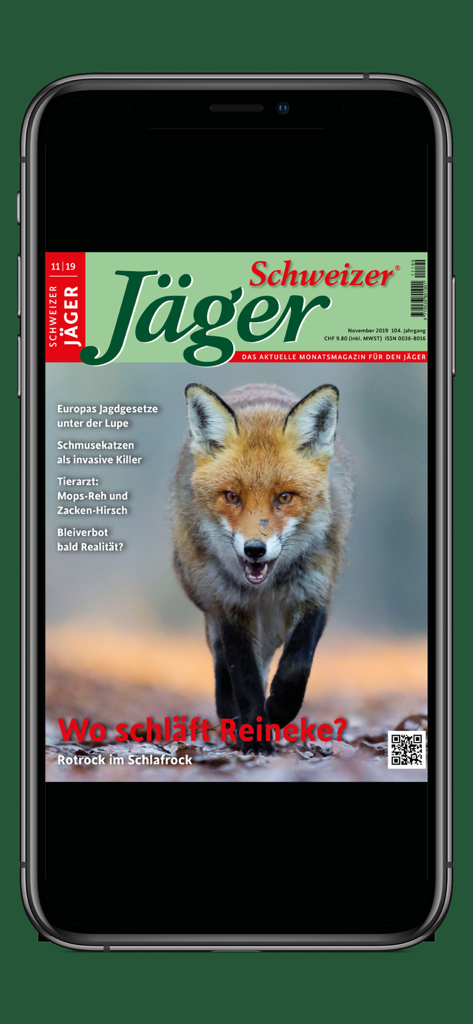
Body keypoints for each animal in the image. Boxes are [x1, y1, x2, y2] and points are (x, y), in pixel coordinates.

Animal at [172, 381, 352, 753]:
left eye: (284, 497)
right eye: (232, 497)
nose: (255, 549)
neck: (266, 588)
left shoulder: (314, 592)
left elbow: (296, 666)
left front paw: (279, 710)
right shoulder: (230, 606)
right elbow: (243, 678)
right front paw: (255, 739)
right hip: (214, 612)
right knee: (223, 669)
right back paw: (231, 721)